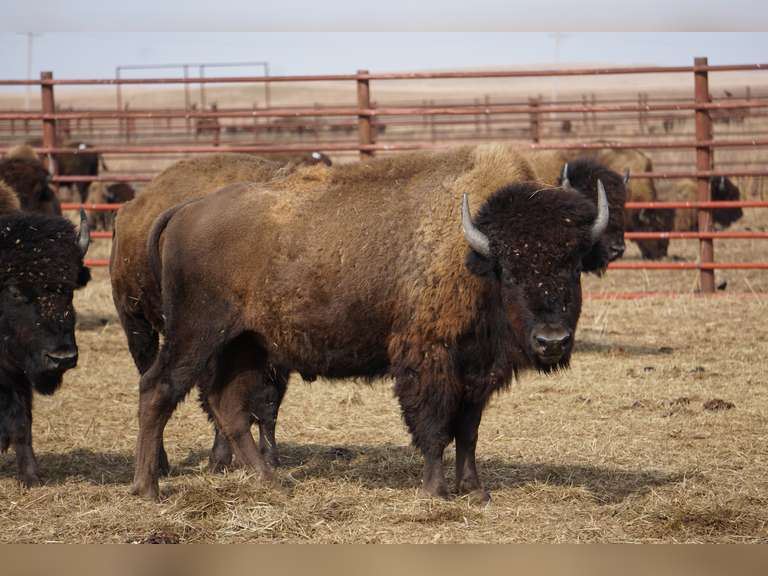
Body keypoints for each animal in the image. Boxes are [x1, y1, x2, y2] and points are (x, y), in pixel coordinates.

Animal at [0, 200, 91, 487]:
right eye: (14, 291)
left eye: (70, 288)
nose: (62, 358)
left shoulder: (15, 373)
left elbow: (22, 423)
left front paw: (31, 477)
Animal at [127, 144, 610, 502]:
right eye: (509, 269)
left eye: (572, 265)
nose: (552, 340)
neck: (475, 252)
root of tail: (185, 209)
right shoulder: (428, 359)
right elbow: (434, 426)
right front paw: (436, 492)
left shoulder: (476, 370)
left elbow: (468, 430)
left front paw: (475, 491)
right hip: (195, 334)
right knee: (158, 389)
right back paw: (148, 488)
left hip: (246, 345)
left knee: (228, 405)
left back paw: (274, 482)